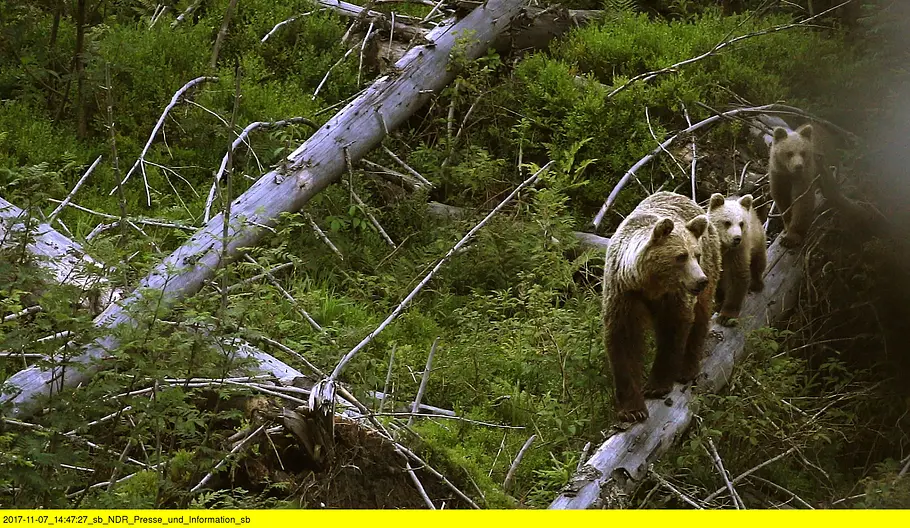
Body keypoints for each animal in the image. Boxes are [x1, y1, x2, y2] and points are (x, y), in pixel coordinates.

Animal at [601, 191, 722, 423]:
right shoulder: (624, 293)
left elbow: (673, 329)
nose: (700, 280)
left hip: (712, 262)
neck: (649, 284)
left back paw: (687, 368)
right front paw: (632, 409)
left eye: (696, 254)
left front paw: (656, 385)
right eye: (681, 256)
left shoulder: (673, 296)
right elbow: (623, 341)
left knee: (701, 316)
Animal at [707, 193, 768, 327]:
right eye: (727, 222)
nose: (737, 238)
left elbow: (737, 277)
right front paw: (718, 303)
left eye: (741, 223)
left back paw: (757, 284)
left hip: (757, 238)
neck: (724, 247)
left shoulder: (737, 252)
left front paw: (726, 316)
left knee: (759, 260)